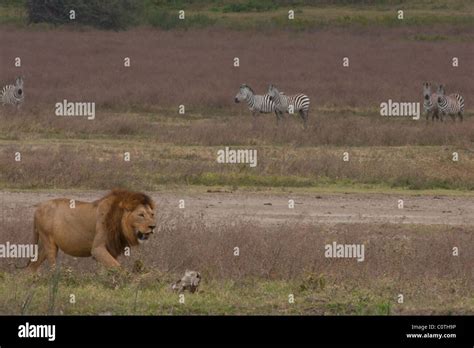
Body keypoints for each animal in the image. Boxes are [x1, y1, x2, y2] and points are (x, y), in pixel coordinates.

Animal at [28, 189, 156, 270]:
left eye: (152, 214)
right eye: (141, 215)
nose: (153, 226)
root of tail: (37, 209)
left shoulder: (111, 249)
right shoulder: (97, 249)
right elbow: (118, 267)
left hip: (44, 245)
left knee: (31, 267)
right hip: (49, 241)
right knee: (52, 266)